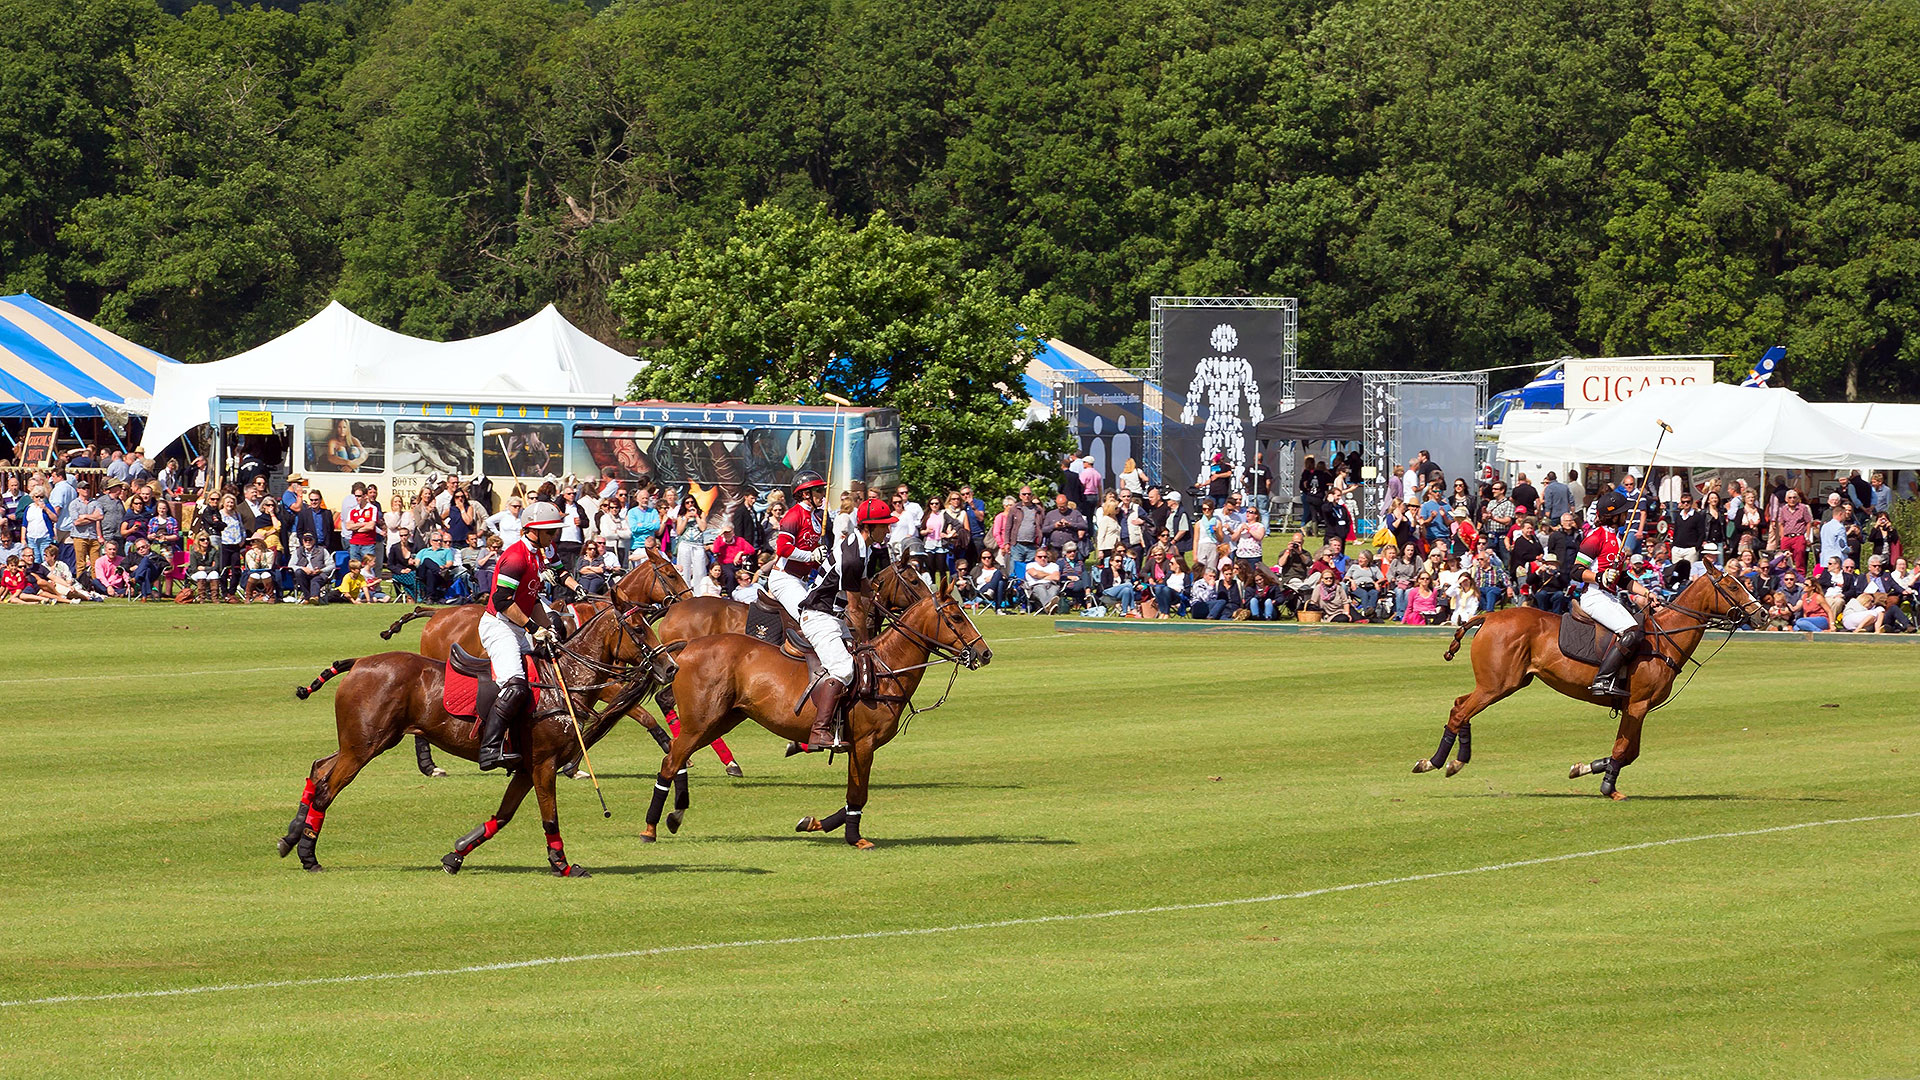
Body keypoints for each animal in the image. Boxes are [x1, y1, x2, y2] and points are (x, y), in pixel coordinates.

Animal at [280, 599, 672, 868]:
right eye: (639, 629)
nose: (669, 667)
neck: (564, 681)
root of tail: (359, 662)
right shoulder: (543, 764)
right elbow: (549, 816)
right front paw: (563, 866)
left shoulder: (527, 767)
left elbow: (504, 815)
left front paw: (456, 855)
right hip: (364, 746)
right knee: (327, 791)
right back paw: (308, 855)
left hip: (364, 741)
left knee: (319, 767)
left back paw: (290, 837)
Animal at [645, 576, 990, 845]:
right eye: (956, 618)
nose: (984, 653)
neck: (885, 669)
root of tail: (687, 647)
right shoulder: (864, 744)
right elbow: (858, 795)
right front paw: (855, 838)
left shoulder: (857, 746)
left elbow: (855, 794)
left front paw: (812, 823)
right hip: (701, 721)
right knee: (670, 761)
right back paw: (650, 828)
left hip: (721, 720)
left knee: (676, 757)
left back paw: (676, 815)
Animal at [1420, 568, 1758, 795]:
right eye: (1731, 585)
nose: (1762, 613)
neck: (1664, 638)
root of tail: (1488, 616)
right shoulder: (1638, 704)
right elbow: (1623, 750)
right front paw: (1609, 788)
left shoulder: (1636, 707)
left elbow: (1629, 752)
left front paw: (1583, 768)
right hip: (1497, 684)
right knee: (1460, 711)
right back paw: (1433, 762)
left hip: (1502, 683)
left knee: (1460, 705)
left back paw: (1455, 762)